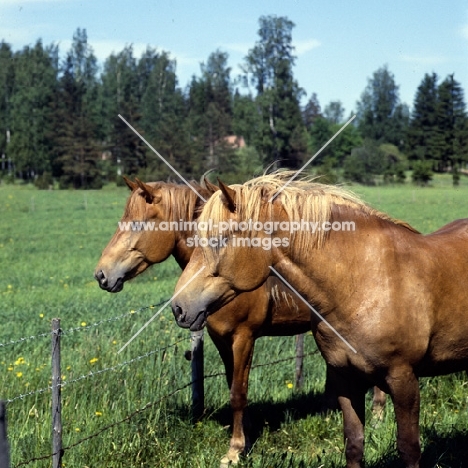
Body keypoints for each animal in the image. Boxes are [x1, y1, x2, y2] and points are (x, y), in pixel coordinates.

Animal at [171, 173, 468, 468]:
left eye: (219, 239)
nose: (178, 307)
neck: (362, 282)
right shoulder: (346, 378)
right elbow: (354, 444)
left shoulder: (403, 379)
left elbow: (408, 448)